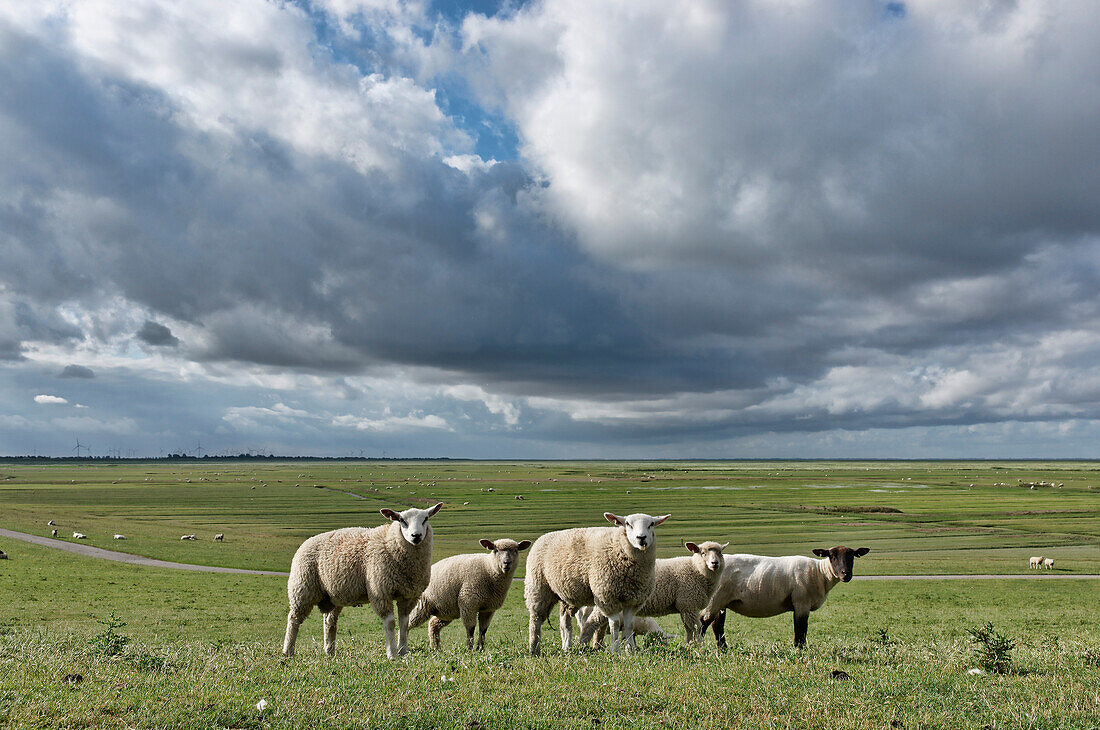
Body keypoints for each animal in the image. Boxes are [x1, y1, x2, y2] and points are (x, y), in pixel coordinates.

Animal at [286, 505, 444, 659]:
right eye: (402, 520)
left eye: (425, 518)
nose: (416, 536)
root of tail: (308, 540)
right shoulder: (380, 592)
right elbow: (390, 623)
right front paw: (392, 654)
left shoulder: (409, 595)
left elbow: (404, 623)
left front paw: (403, 651)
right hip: (302, 588)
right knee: (294, 619)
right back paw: (288, 651)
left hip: (334, 595)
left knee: (330, 621)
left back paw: (329, 652)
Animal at [576, 536, 730, 646]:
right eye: (703, 553)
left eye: (720, 553)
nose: (715, 563)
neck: (696, 570)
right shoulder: (688, 604)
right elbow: (695, 629)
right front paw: (697, 647)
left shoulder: (686, 607)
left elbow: (688, 629)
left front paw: (690, 646)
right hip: (608, 598)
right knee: (592, 623)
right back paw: (584, 645)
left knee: (600, 627)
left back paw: (597, 646)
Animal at [699, 545, 871, 646]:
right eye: (832, 556)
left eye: (852, 556)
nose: (845, 574)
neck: (819, 573)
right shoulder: (801, 602)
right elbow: (801, 629)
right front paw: (800, 650)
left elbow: (800, 629)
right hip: (715, 599)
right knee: (704, 622)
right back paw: (697, 646)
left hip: (722, 601)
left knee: (717, 626)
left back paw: (723, 649)